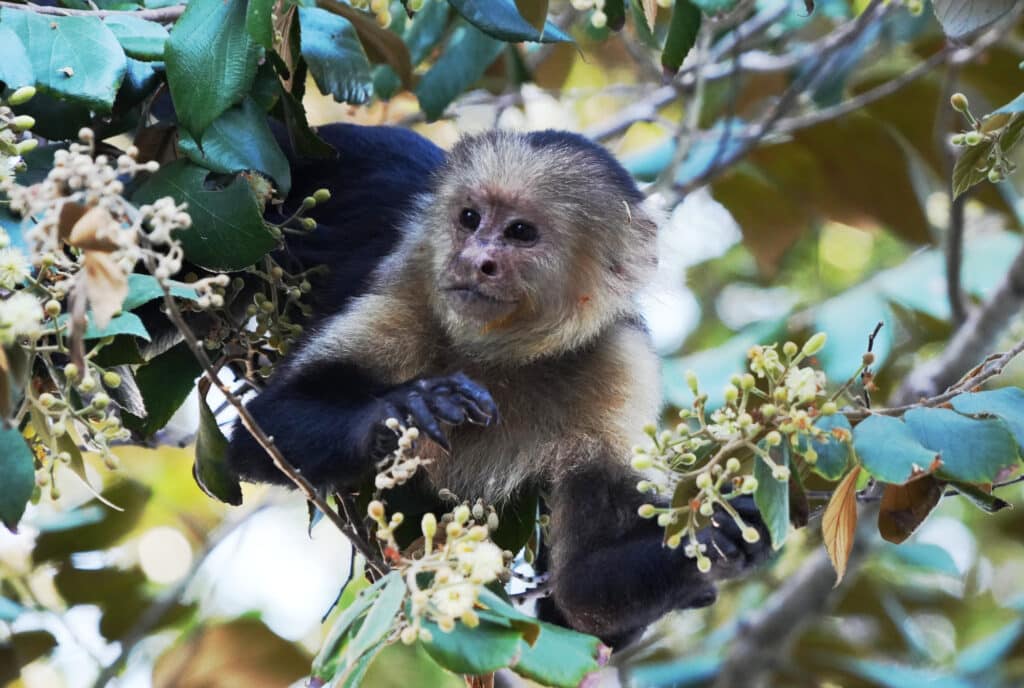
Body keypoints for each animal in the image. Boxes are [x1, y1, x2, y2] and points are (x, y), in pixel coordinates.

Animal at [226, 123, 770, 646]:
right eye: (470, 219)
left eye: (520, 231)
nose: (475, 259)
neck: (504, 352)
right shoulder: (407, 288)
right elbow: (259, 434)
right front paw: (405, 410)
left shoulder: (621, 363)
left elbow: (579, 597)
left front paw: (715, 538)